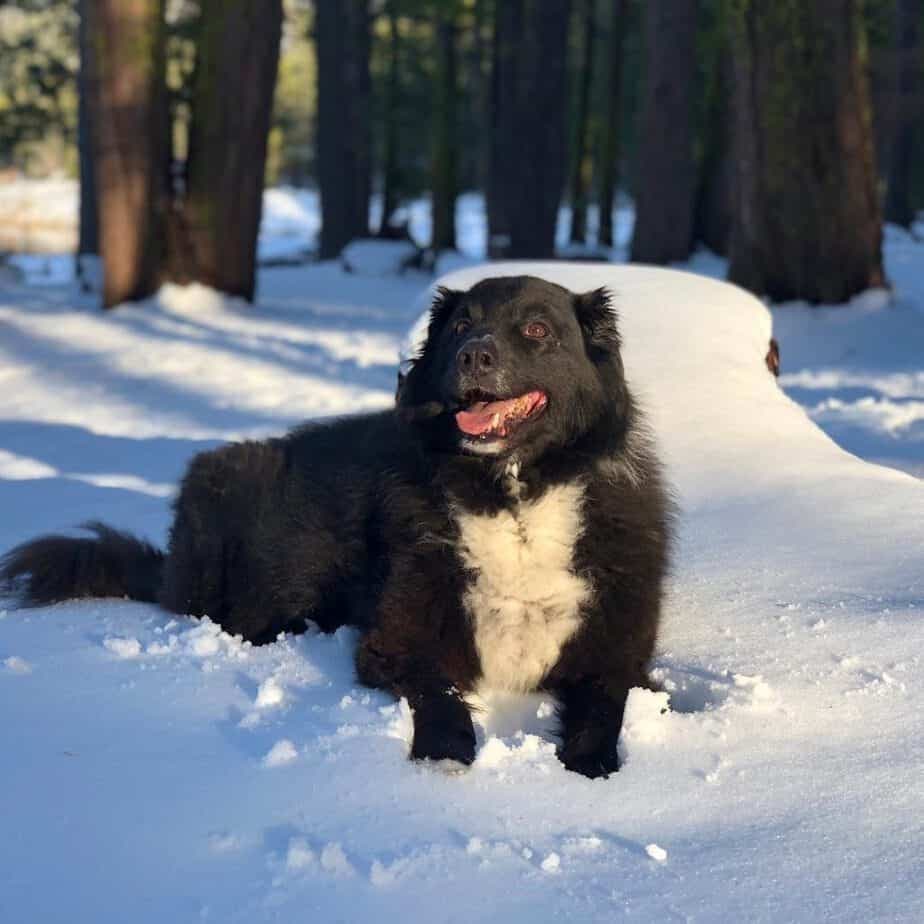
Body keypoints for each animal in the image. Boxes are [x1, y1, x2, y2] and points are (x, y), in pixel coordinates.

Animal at [0, 276, 672, 780]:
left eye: (536, 330)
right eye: (461, 325)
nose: (473, 355)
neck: (510, 497)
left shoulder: (615, 650)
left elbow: (604, 707)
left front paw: (590, 767)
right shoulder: (397, 641)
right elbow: (439, 694)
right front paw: (445, 753)